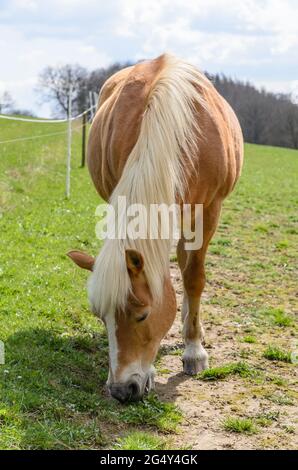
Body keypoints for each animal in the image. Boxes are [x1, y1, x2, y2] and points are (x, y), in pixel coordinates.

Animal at [68, 53, 244, 402]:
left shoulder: (209, 211)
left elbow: (193, 278)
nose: (122, 389)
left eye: (143, 315)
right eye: (102, 317)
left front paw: (193, 350)